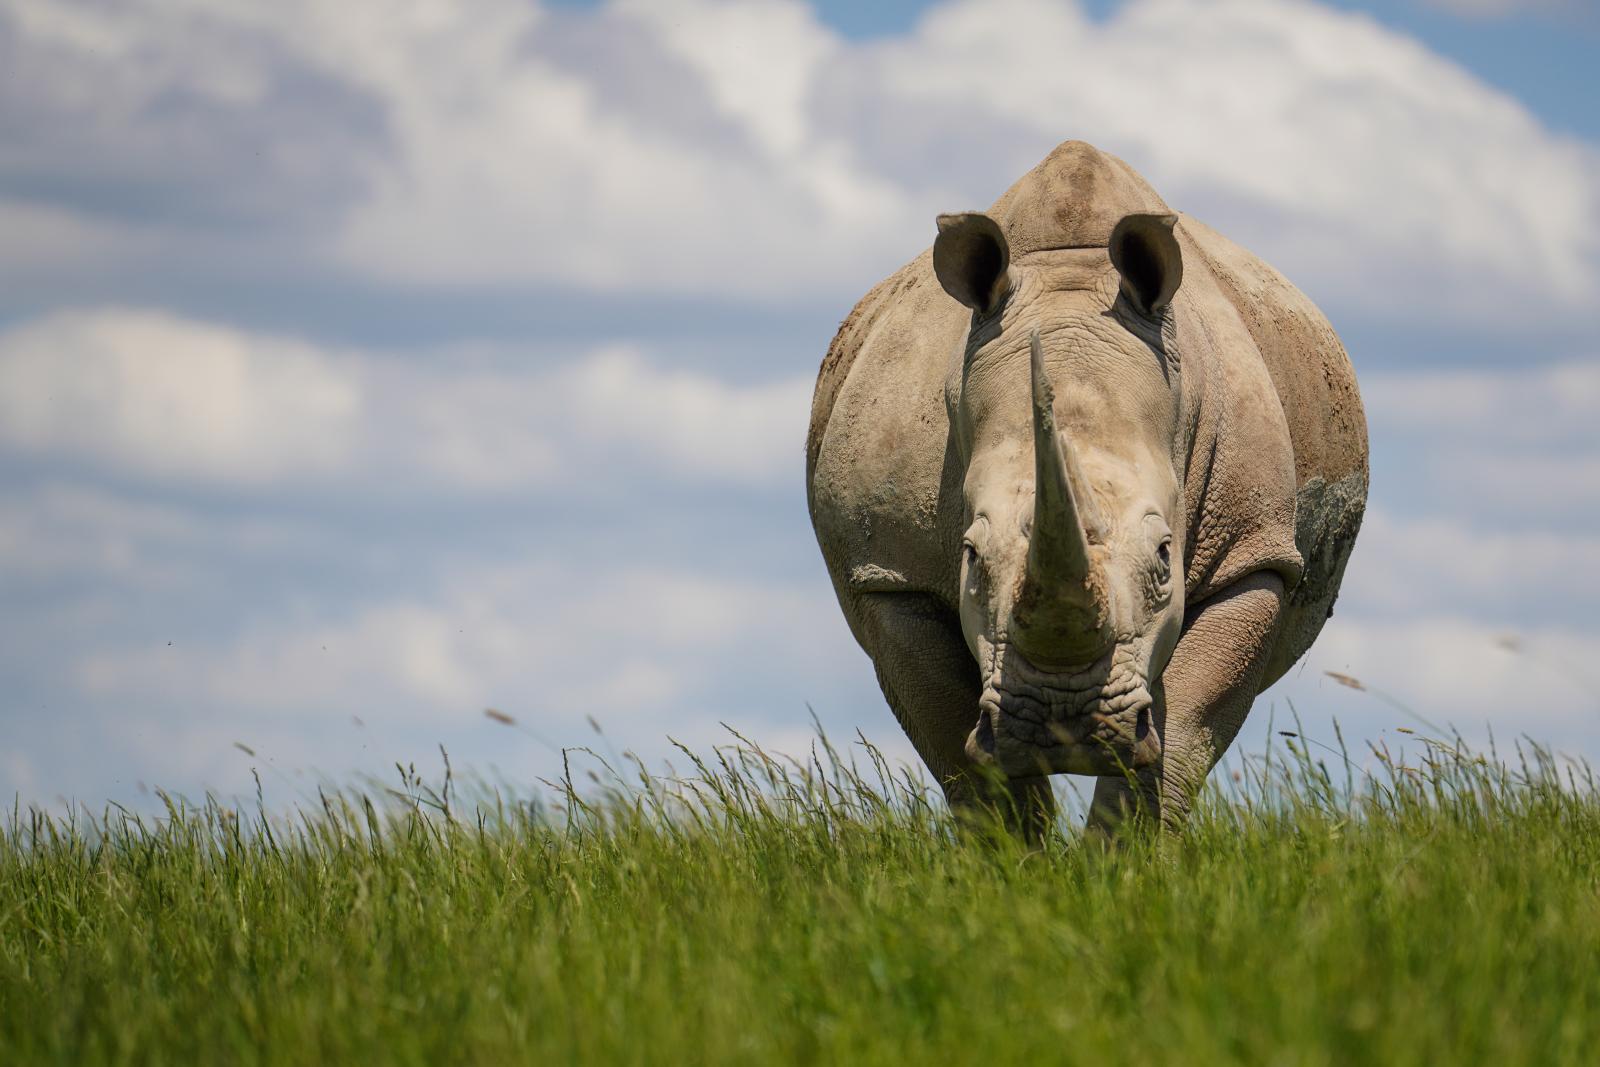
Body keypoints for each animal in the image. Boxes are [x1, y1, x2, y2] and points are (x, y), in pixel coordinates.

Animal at [806, 141, 1369, 831]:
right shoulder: (890, 573)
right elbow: (965, 761)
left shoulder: (1252, 554)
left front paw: (1125, 853)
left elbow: (1181, 736)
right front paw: (1016, 856)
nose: (1063, 726)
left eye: (1165, 557)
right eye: (971, 557)